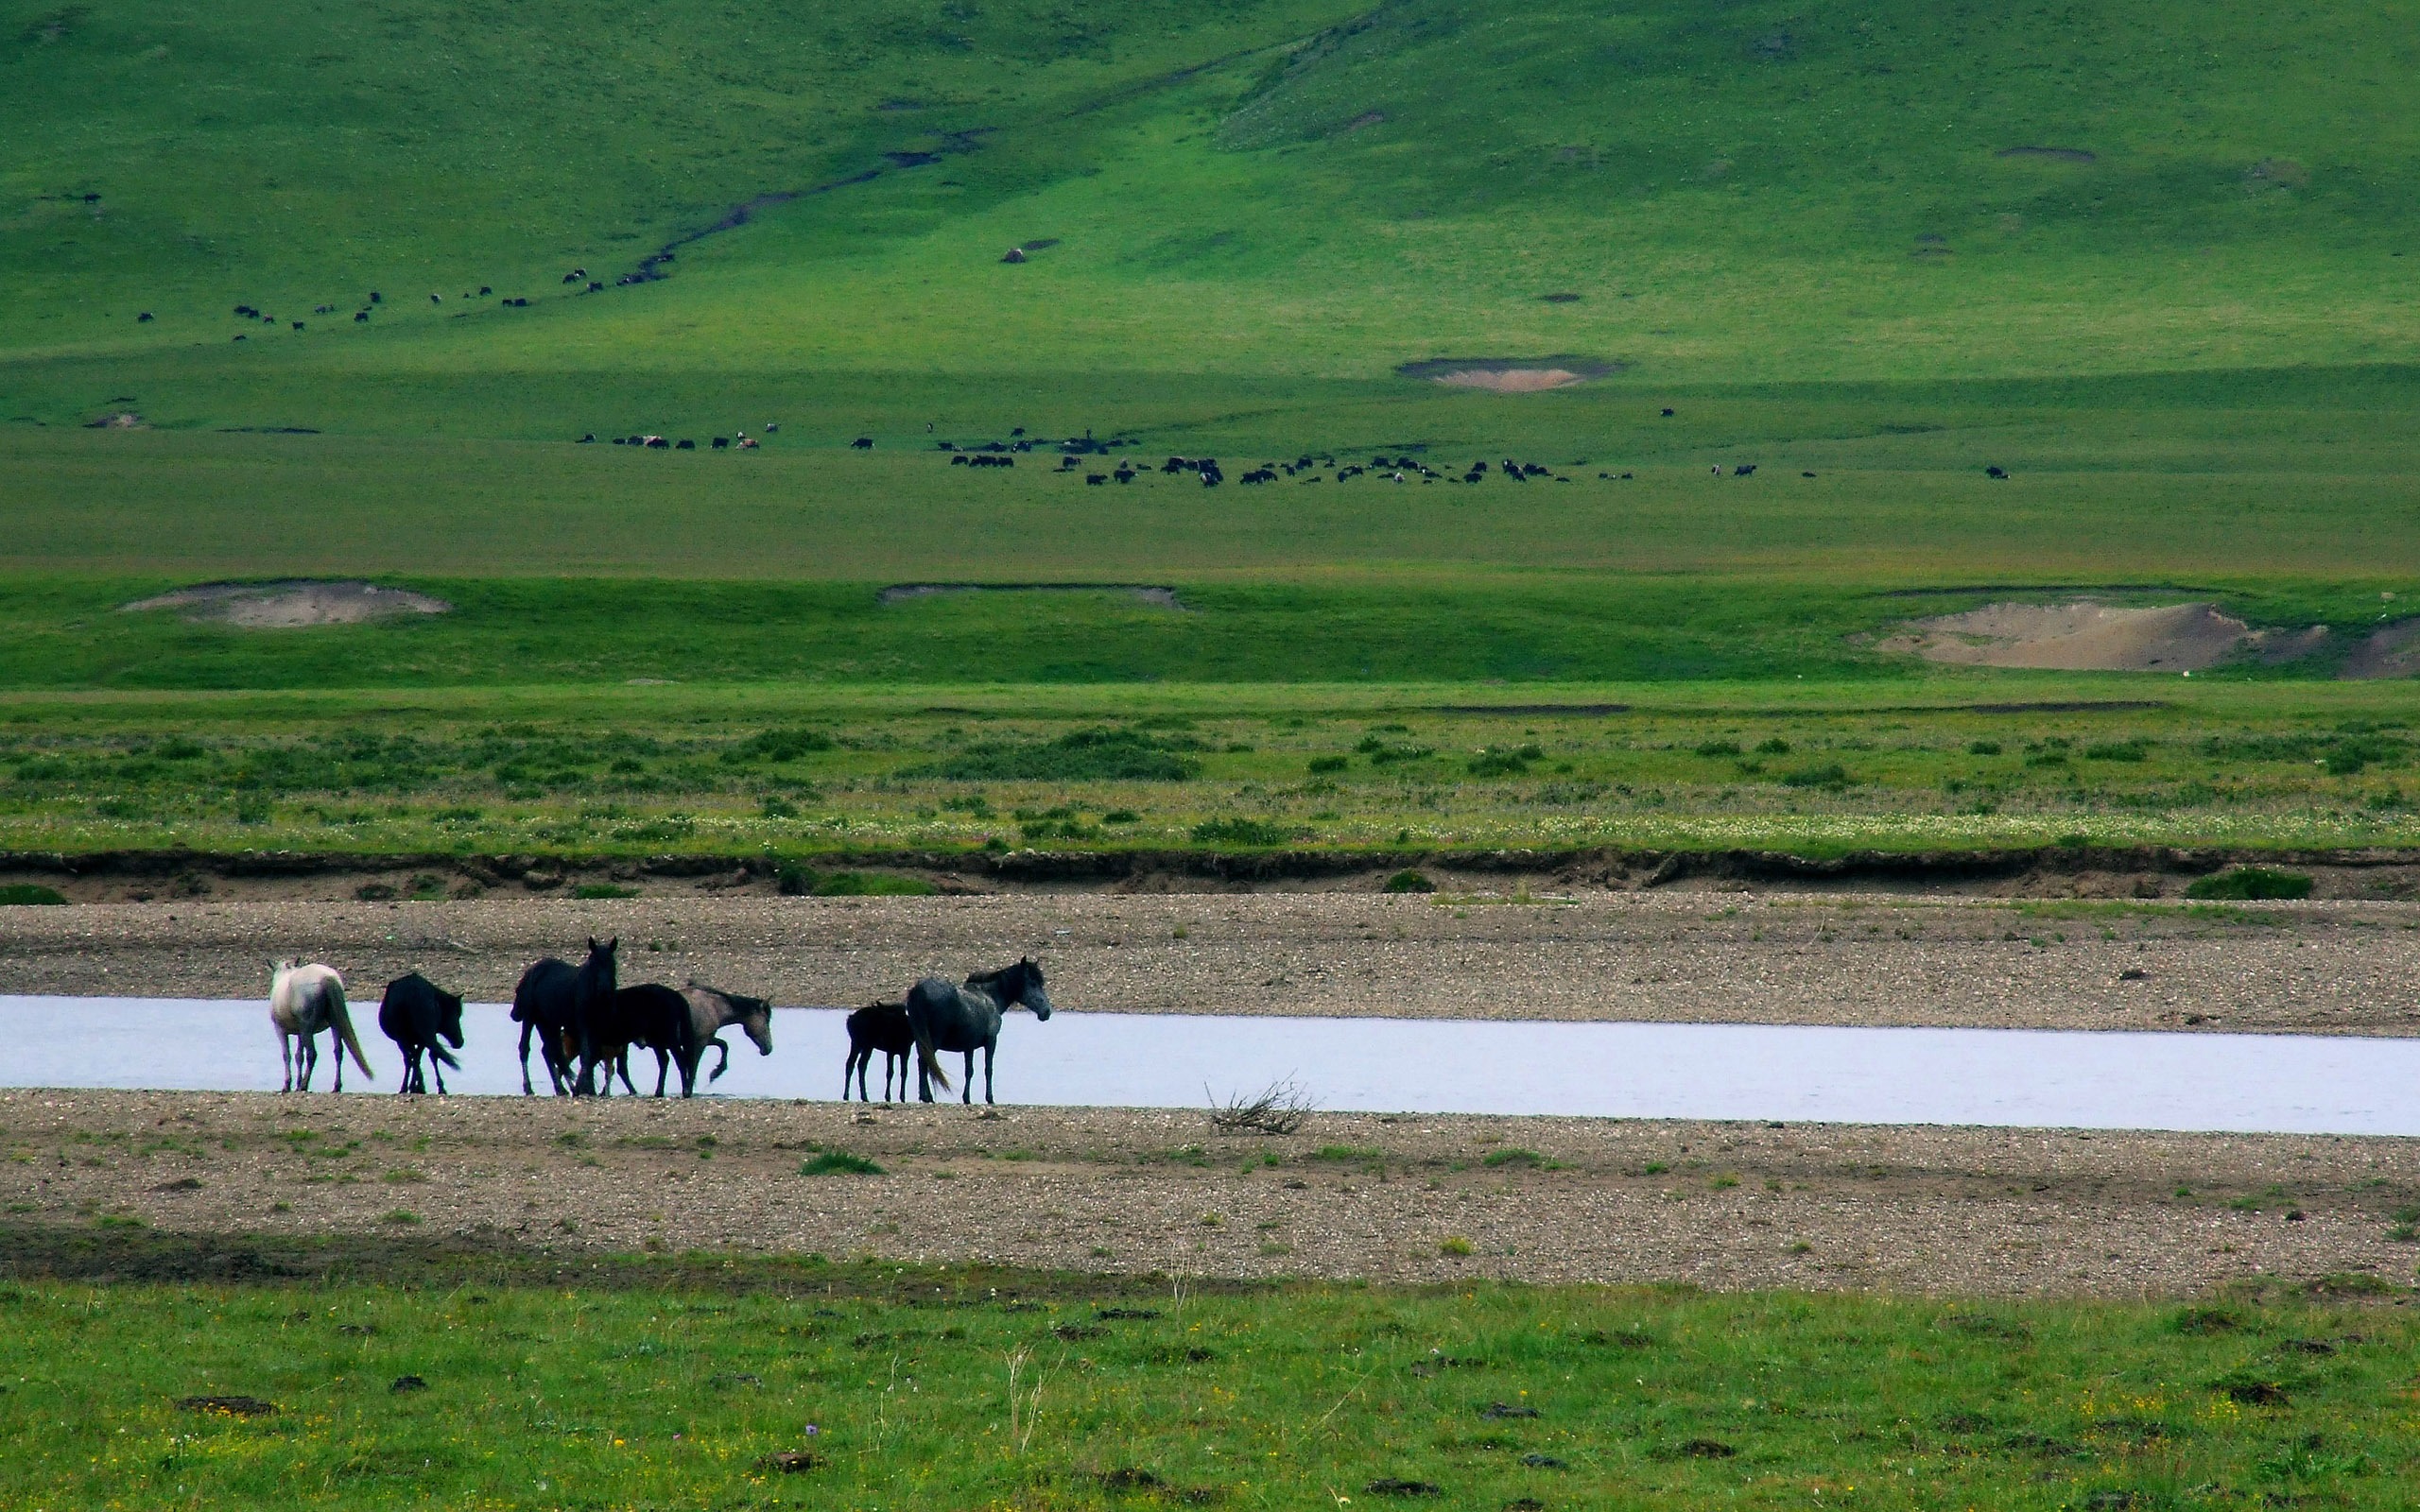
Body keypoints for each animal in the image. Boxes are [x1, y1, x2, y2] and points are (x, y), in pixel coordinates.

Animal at [270, 962, 372, 1089]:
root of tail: (326, 978)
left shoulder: (280, 1030)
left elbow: (286, 1055)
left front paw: (287, 1084)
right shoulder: (300, 1032)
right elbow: (299, 1056)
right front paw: (297, 1082)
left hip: (307, 1029)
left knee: (312, 1054)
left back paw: (304, 1085)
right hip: (334, 1025)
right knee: (338, 1051)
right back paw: (336, 1086)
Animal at [512, 934, 619, 1098]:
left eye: (612, 963)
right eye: (593, 964)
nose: (604, 991)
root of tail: (530, 972)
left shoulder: (599, 1028)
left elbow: (593, 1055)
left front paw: (587, 1088)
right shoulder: (583, 1025)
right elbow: (586, 1055)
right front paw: (586, 1087)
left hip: (548, 1023)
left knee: (551, 1051)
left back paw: (562, 1088)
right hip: (530, 1018)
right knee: (525, 1049)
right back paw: (529, 1088)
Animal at [582, 977, 706, 1098]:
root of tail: (676, 996)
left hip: (668, 1037)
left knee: (680, 1059)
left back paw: (685, 1091)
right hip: (657, 1040)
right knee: (665, 1060)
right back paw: (660, 1092)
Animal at [905, 962, 1055, 1103]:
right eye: (1033, 983)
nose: (1047, 1011)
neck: (989, 997)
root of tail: (919, 990)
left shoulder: (968, 1047)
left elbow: (969, 1071)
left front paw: (966, 1098)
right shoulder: (991, 1041)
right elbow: (988, 1070)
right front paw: (989, 1098)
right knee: (925, 1061)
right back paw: (926, 1097)